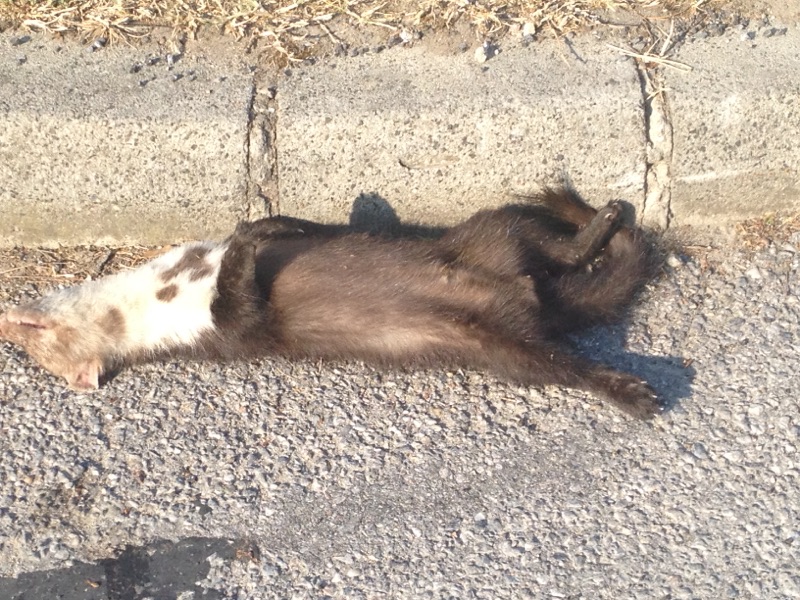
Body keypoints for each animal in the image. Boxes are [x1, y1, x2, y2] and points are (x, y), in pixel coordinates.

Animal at [0, 187, 661, 418]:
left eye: (27, 336)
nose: (8, 325)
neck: (171, 284)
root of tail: (528, 294)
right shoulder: (228, 329)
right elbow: (243, 294)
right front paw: (259, 232)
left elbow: (283, 229)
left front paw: (280, 221)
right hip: (508, 350)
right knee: (564, 364)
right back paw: (637, 394)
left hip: (490, 233)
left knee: (551, 241)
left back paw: (605, 217)